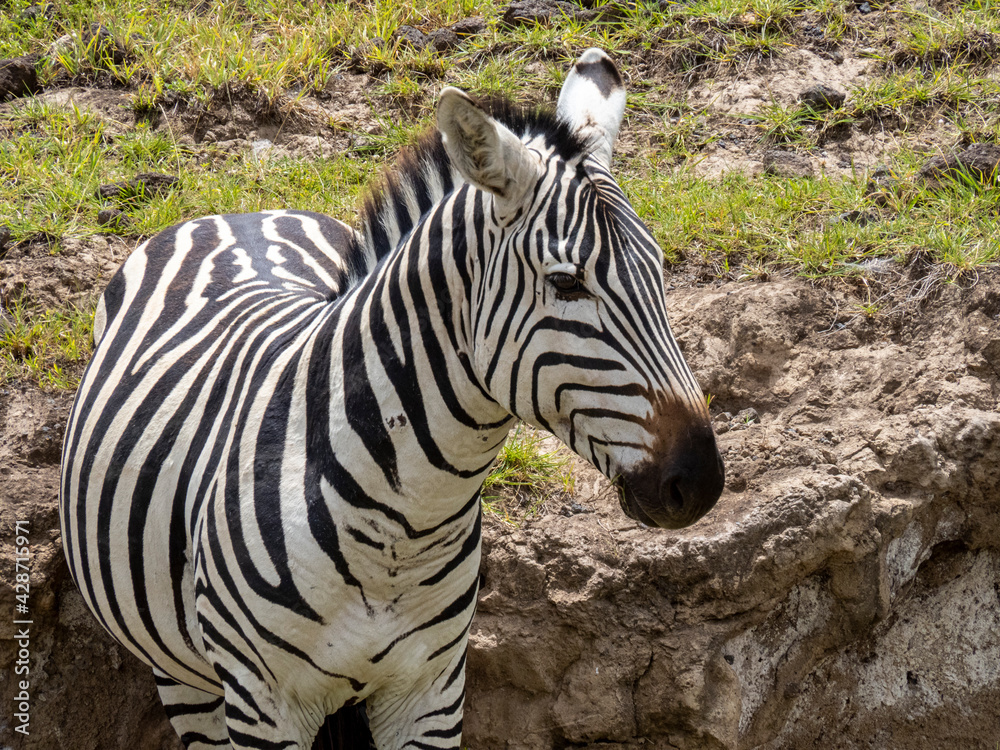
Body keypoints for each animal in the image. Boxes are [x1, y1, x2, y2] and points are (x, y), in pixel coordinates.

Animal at [59, 48, 724, 750]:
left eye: (659, 269)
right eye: (567, 282)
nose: (700, 482)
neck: (402, 531)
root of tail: (234, 215)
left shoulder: (431, 691)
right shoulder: (262, 705)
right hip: (184, 677)